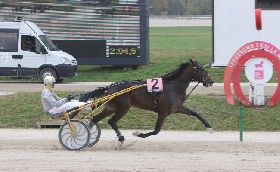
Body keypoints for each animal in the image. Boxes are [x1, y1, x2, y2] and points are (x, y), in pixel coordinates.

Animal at [79, 59, 214, 145]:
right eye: (202, 69)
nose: (211, 81)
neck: (173, 87)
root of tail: (110, 86)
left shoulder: (177, 108)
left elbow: (195, 113)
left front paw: (209, 127)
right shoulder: (163, 112)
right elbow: (156, 131)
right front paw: (138, 134)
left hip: (111, 107)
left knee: (95, 119)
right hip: (123, 107)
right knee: (111, 121)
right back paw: (120, 138)